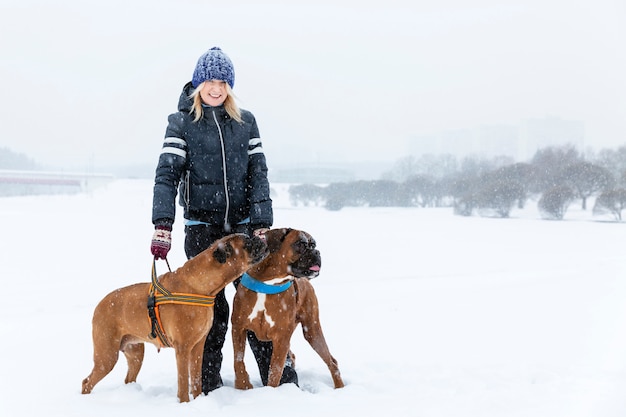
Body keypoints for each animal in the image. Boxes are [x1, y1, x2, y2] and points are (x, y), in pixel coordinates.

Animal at [81, 232, 266, 402]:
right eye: (247, 243)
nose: (260, 238)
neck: (199, 287)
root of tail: (100, 304)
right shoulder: (182, 348)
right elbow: (183, 381)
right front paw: (184, 402)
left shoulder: (198, 346)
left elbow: (196, 378)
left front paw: (198, 399)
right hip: (106, 356)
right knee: (87, 382)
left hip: (135, 354)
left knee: (128, 378)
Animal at [230, 226, 344, 388]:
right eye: (301, 244)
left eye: (314, 245)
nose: (317, 252)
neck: (269, 282)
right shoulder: (238, 328)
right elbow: (238, 360)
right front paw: (242, 385)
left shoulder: (281, 339)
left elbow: (275, 372)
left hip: (312, 331)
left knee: (332, 362)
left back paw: (340, 387)